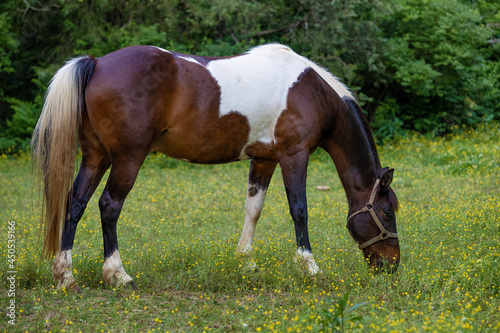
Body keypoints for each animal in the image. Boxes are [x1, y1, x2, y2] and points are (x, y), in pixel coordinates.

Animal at [31, 42, 400, 290]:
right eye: (386, 212)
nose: (392, 266)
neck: (314, 93)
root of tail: (96, 63)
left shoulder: (264, 159)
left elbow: (254, 209)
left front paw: (246, 262)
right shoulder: (294, 155)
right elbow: (299, 209)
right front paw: (310, 267)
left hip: (96, 157)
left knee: (75, 203)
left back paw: (65, 275)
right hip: (127, 158)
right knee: (109, 206)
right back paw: (118, 275)